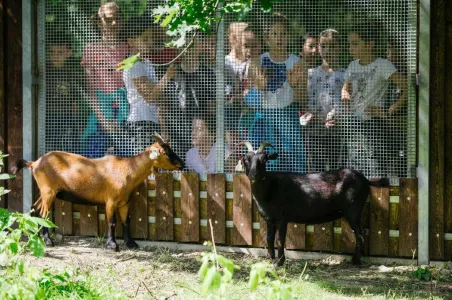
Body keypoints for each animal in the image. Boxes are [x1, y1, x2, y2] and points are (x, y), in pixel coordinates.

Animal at [13, 134, 185, 251]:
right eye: (165, 152)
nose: (181, 164)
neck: (128, 169)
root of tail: (35, 163)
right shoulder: (111, 201)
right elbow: (112, 222)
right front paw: (112, 245)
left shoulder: (124, 202)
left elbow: (126, 221)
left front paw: (131, 244)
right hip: (48, 191)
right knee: (44, 213)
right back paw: (48, 241)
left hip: (47, 192)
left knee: (35, 208)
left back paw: (35, 236)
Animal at [237, 142, 388, 266]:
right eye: (246, 159)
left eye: (264, 160)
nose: (253, 174)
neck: (269, 188)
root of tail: (365, 179)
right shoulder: (269, 219)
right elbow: (269, 239)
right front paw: (272, 260)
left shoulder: (282, 218)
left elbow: (279, 239)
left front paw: (279, 262)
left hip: (353, 210)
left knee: (360, 232)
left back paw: (356, 261)